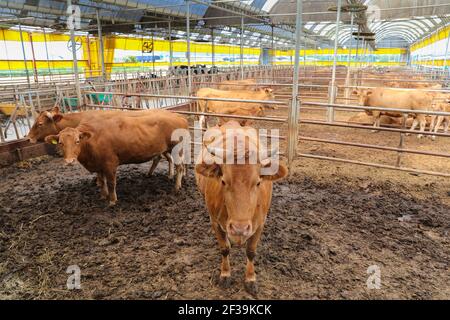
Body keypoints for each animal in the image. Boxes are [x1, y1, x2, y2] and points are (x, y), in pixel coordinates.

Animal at [44, 110, 188, 205]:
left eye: (77, 141)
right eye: (60, 143)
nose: (69, 161)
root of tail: (179, 116)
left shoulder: (110, 163)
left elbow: (111, 183)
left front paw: (112, 201)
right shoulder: (99, 165)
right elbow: (102, 182)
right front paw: (103, 196)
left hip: (176, 149)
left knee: (180, 167)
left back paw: (176, 187)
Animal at [194, 121, 286, 296]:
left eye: (258, 182)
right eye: (223, 181)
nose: (239, 228)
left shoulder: (260, 223)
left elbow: (251, 251)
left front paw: (250, 279)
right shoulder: (215, 222)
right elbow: (224, 248)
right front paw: (225, 274)